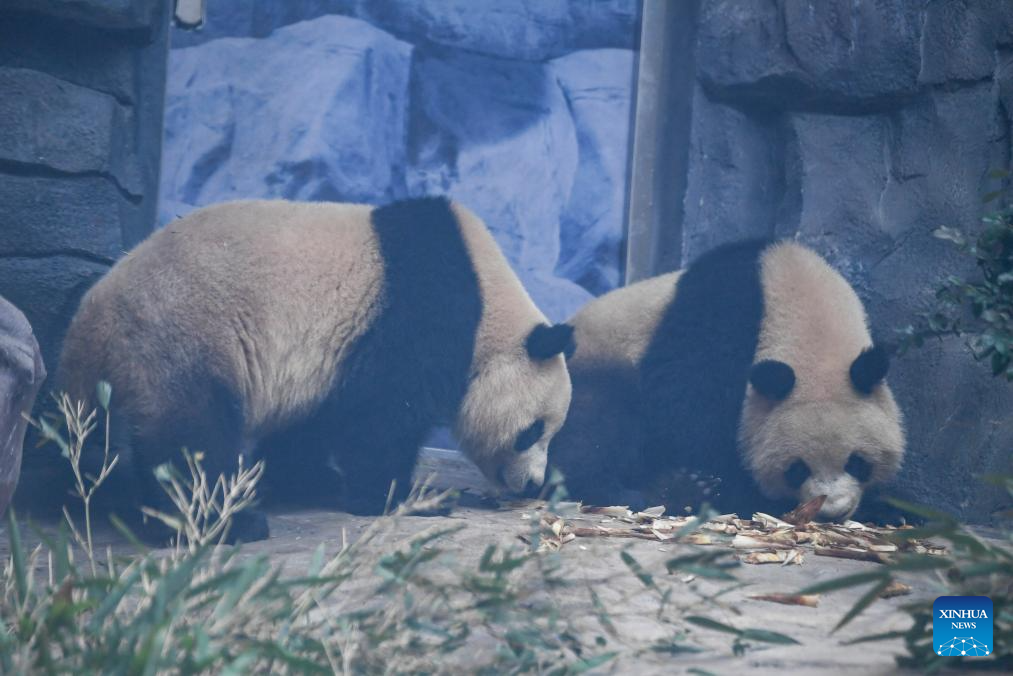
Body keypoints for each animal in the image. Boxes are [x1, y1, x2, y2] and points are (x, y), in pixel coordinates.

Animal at [59, 198, 575, 543]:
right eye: (533, 431)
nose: (533, 484)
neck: (489, 304)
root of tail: (89, 325)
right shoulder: (421, 312)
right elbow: (383, 417)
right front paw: (407, 498)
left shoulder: (333, 358)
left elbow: (317, 421)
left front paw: (307, 478)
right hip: (182, 334)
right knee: (193, 437)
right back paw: (225, 522)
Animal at [551, 239, 907, 522]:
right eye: (797, 469)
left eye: (857, 462)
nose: (833, 511)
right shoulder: (720, 318)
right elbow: (686, 412)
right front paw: (739, 493)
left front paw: (885, 510)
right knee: (598, 429)